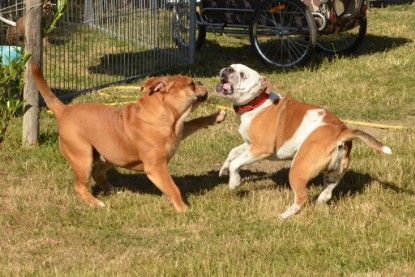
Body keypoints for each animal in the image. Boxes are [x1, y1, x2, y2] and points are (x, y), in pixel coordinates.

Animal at [32, 63, 228, 210]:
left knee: (98, 174)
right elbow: (173, 188)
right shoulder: (156, 168)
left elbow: (194, 122)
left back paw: (113, 191)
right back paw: (95, 203)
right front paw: (184, 209)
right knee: (80, 186)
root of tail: (64, 111)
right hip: (83, 157)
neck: (168, 116)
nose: (201, 81)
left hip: (111, 155)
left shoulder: (180, 130)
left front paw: (217, 116)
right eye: (191, 84)